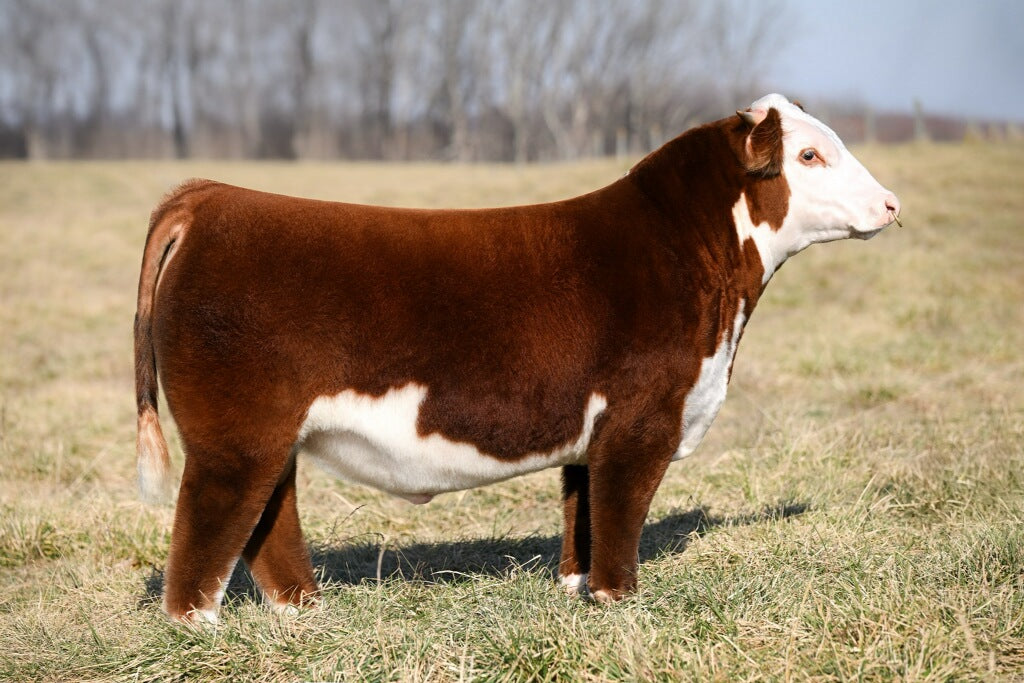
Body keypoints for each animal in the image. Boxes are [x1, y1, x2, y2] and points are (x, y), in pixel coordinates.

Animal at [134, 94, 900, 624]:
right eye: (809, 156)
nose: (892, 203)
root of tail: (209, 198)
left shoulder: (593, 433)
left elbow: (582, 509)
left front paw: (576, 587)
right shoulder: (641, 420)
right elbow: (620, 513)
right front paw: (619, 601)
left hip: (269, 434)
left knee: (270, 514)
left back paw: (305, 609)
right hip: (234, 435)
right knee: (210, 525)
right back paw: (201, 628)